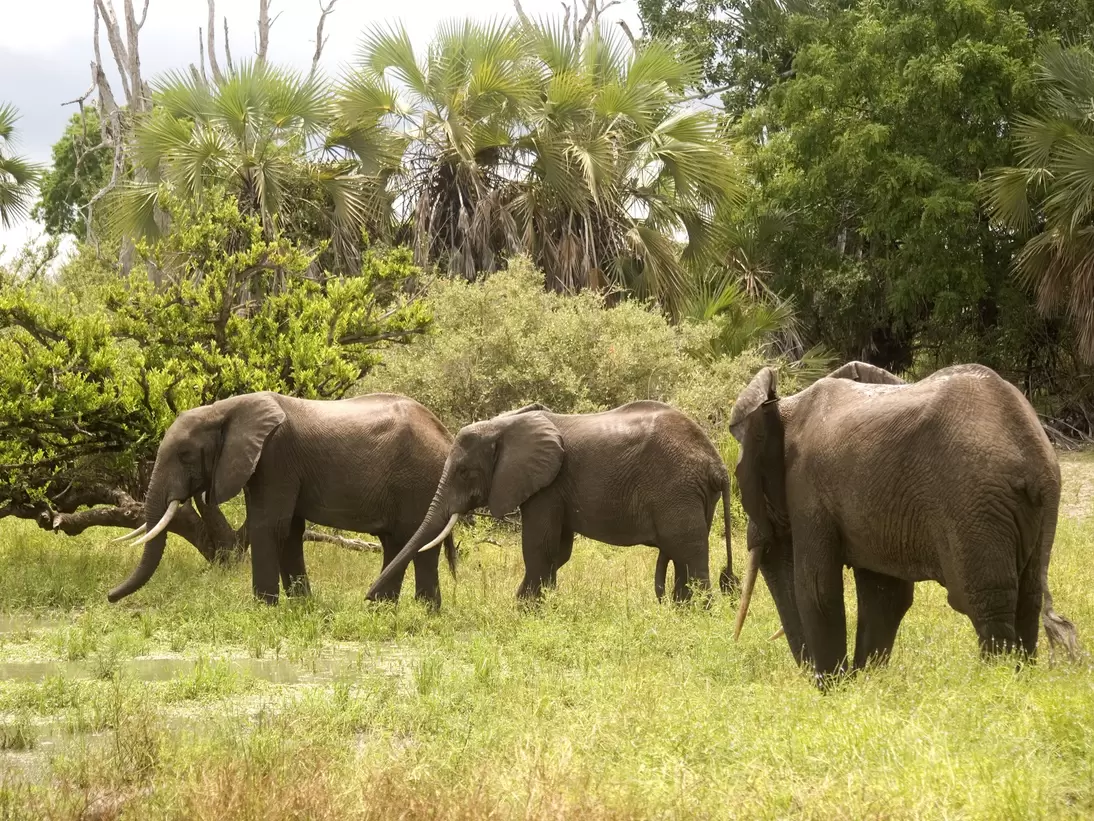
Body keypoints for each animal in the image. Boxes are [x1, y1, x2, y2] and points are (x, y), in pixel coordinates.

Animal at [107, 392, 456, 607]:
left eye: (185, 455)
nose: (109, 596)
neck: (226, 409)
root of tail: (445, 433)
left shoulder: (275, 457)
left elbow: (270, 526)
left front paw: (264, 608)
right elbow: (289, 531)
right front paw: (301, 606)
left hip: (420, 479)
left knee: (417, 542)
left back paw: (420, 612)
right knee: (395, 543)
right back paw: (382, 609)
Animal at [364, 400, 738, 603]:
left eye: (464, 471)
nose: (366, 598)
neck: (506, 424)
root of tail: (717, 464)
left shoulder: (547, 485)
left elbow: (538, 546)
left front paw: (522, 609)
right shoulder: (553, 487)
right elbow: (558, 550)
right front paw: (536, 605)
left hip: (678, 488)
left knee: (686, 549)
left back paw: (696, 615)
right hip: (692, 494)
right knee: (682, 552)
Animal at [730, 360, 1079, 684]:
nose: (809, 674)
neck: (785, 406)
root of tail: (1038, 458)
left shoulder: (808, 487)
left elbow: (816, 589)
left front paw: (834, 690)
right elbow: (884, 595)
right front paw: (865, 686)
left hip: (973, 503)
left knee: (983, 601)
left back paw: (996, 685)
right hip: (1023, 513)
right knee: (1028, 599)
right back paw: (1019, 681)